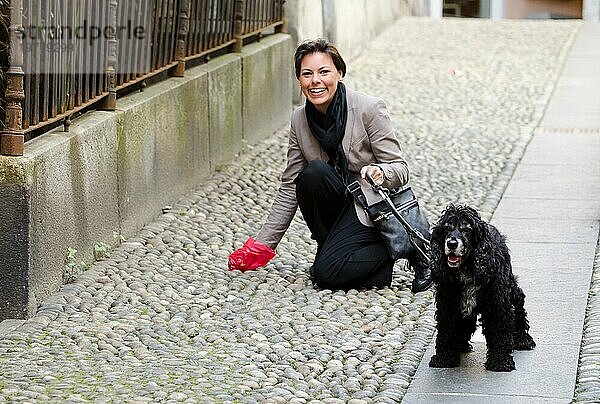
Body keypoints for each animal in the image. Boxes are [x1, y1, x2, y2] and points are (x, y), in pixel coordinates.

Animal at [426, 205, 536, 372]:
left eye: (467, 229)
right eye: (447, 228)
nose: (451, 243)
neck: (466, 269)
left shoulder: (497, 303)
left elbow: (499, 331)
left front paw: (500, 361)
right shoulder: (448, 304)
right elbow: (447, 331)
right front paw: (444, 358)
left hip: (512, 291)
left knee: (519, 311)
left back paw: (523, 339)